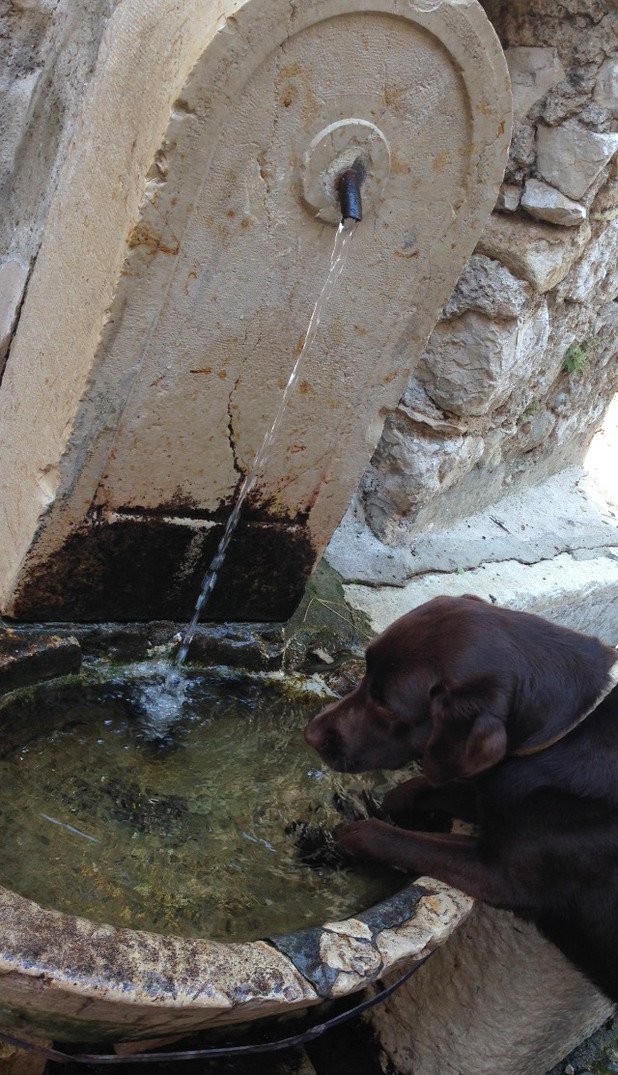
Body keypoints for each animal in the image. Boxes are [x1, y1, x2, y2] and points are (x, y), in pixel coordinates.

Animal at [305, 597, 618, 997]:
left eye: (386, 706)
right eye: (365, 673)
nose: (310, 734)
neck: (568, 728)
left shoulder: (499, 876)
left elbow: (398, 838)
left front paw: (349, 835)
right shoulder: (497, 793)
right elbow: (421, 788)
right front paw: (387, 804)